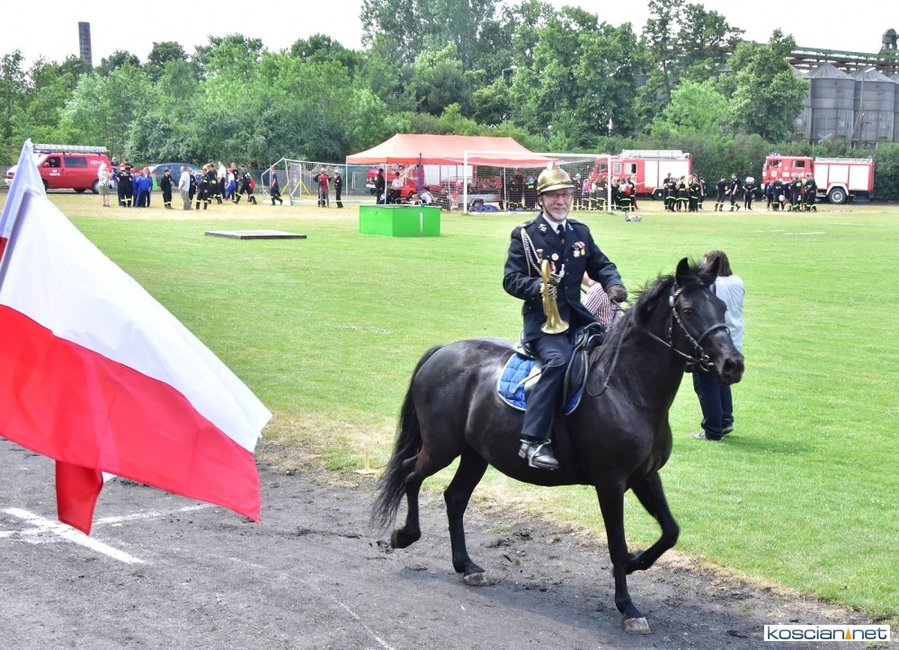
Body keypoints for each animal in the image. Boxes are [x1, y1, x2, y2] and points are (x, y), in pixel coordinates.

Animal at [371, 257, 745, 634]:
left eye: (721, 307)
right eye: (688, 310)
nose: (733, 364)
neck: (626, 387)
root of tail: (443, 351)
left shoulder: (645, 476)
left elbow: (670, 531)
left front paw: (635, 562)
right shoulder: (610, 483)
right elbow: (616, 542)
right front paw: (628, 606)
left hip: (476, 454)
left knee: (455, 497)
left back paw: (466, 566)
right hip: (441, 447)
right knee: (410, 474)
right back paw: (405, 535)